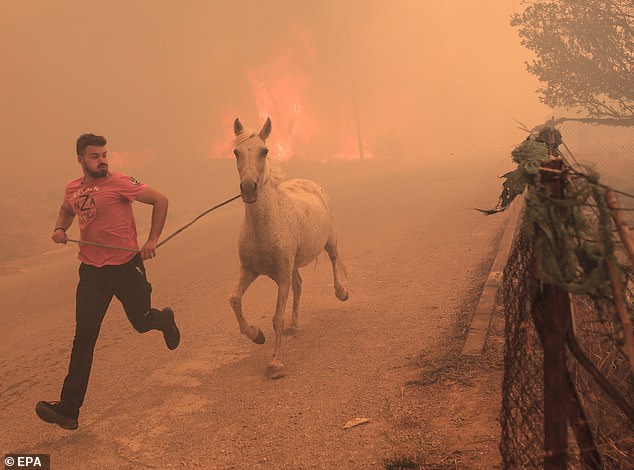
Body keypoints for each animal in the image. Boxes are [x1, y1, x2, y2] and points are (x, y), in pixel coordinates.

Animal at [228, 117, 346, 378]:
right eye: (236, 152)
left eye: (264, 151)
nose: (248, 188)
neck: (264, 226)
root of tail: (312, 184)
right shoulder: (248, 270)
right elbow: (234, 300)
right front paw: (256, 335)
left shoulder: (281, 274)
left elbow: (276, 318)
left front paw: (275, 364)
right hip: (292, 266)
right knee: (299, 285)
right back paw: (293, 325)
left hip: (329, 241)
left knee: (334, 260)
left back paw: (341, 292)